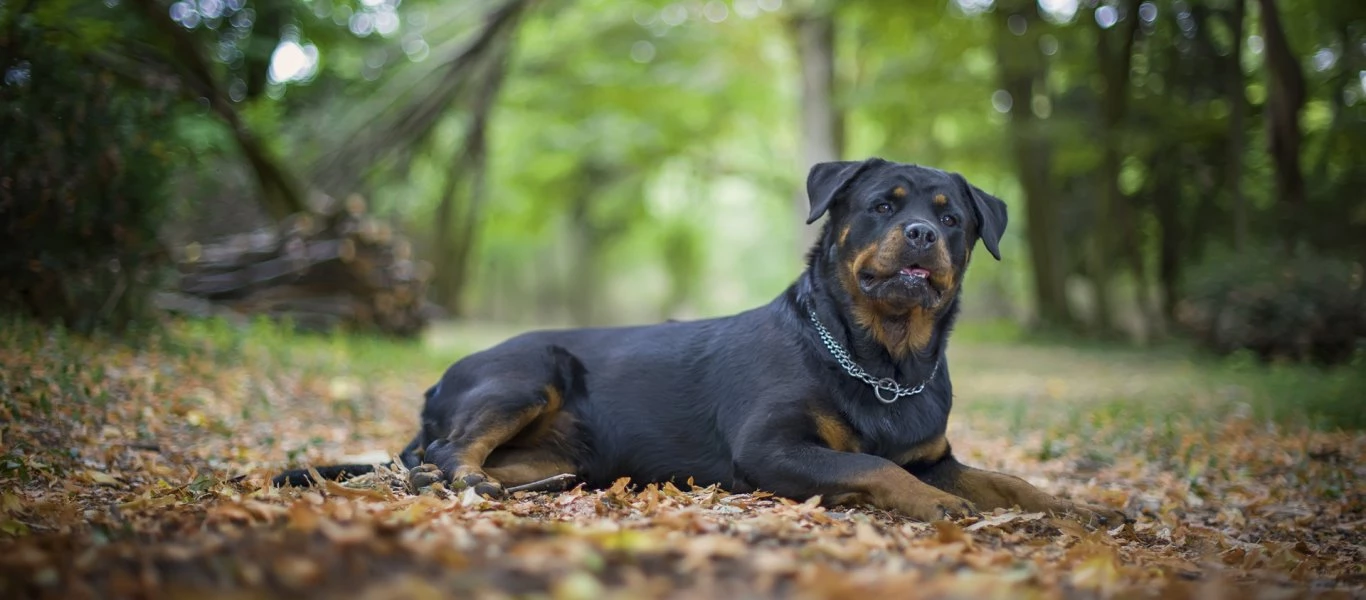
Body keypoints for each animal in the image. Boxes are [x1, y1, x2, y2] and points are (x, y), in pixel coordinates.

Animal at [274, 159, 1120, 524]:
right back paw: (472, 484)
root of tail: (433, 387)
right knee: (444, 457)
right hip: (528, 370)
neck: (882, 359)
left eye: (953, 219)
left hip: (562, 449)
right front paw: (942, 508)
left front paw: (1079, 505)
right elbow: (873, 465)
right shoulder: (772, 448)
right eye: (885, 204)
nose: (921, 235)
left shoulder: (935, 454)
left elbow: (1006, 479)